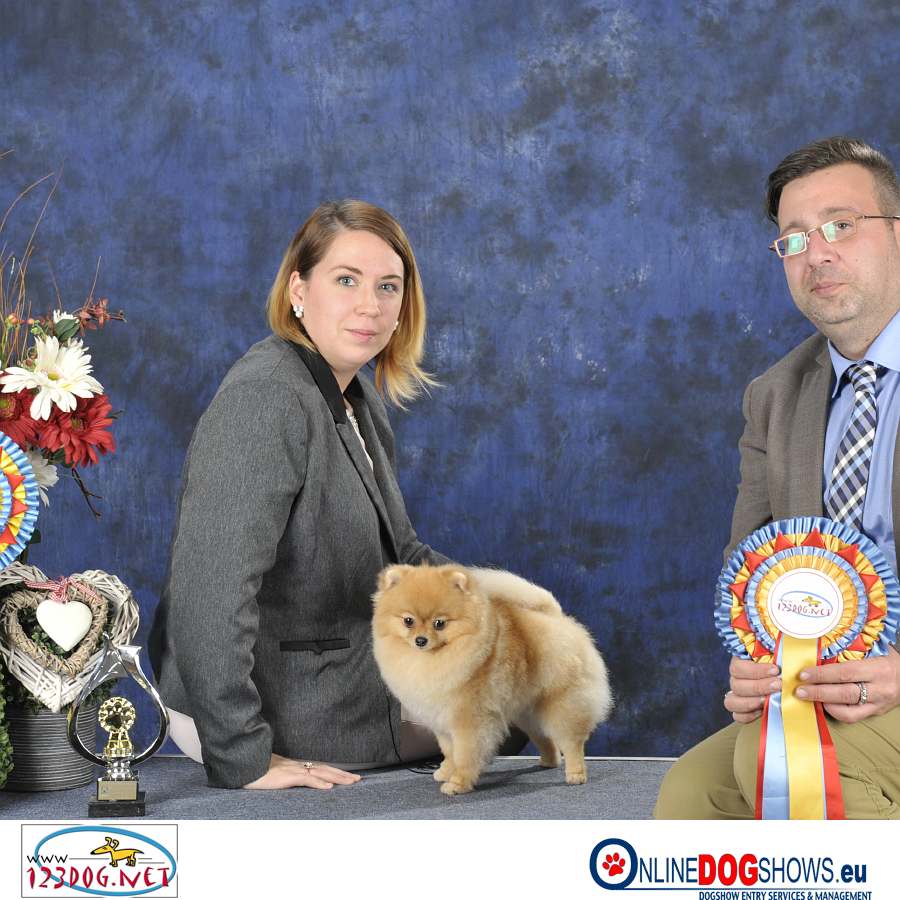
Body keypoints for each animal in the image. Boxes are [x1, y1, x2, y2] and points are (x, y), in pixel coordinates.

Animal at [371, 563, 612, 795]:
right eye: (408, 621)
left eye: (439, 623)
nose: (420, 640)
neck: (436, 658)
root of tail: (555, 616)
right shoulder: (442, 721)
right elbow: (449, 752)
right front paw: (446, 771)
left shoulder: (469, 720)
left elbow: (464, 755)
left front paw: (457, 784)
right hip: (529, 711)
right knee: (545, 738)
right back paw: (548, 761)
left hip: (563, 703)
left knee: (571, 742)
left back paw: (576, 774)